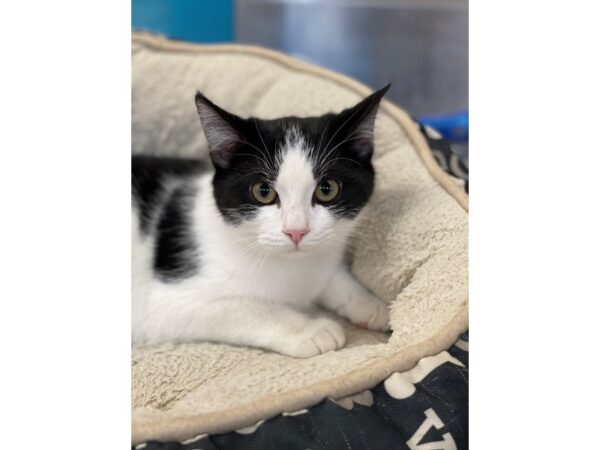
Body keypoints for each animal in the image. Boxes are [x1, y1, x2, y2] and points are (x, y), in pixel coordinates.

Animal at [132, 85, 392, 358]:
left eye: (327, 189)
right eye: (263, 191)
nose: (296, 231)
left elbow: (328, 276)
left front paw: (368, 303)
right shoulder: (164, 304)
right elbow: (244, 307)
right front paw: (310, 330)